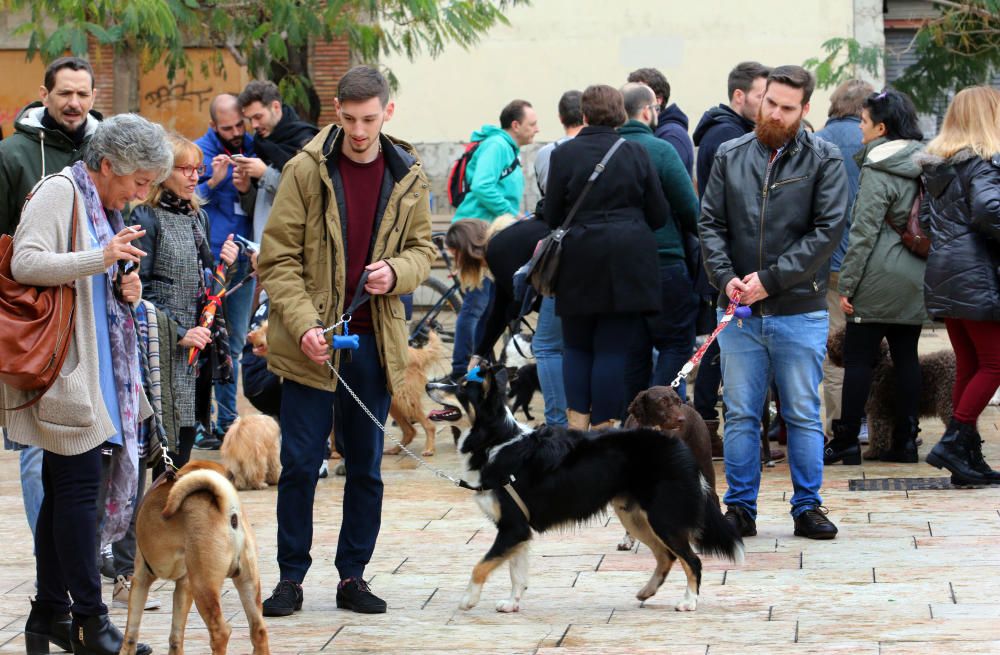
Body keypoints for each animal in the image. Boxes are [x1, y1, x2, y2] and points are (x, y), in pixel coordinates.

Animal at [121, 462, 270, 655]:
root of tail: (229, 513)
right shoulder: (184, 586)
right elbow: (176, 636)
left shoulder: (140, 579)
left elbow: (131, 633)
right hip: (248, 583)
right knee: (258, 630)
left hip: (203, 586)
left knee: (221, 632)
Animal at [616, 386, 720, 552]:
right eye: (663, 402)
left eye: (677, 401)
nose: (682, 420)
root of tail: (691, 408)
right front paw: (627, 540)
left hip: (704, 462)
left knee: (713, 496)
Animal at [824, 328, 956, 462]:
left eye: (843, 335)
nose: (827, 343)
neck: (878, 365)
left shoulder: (879, 410)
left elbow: (878, 433)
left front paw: (873, 453)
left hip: (948, 402)